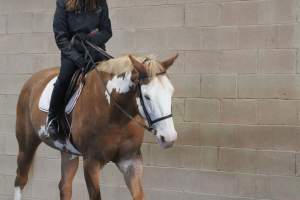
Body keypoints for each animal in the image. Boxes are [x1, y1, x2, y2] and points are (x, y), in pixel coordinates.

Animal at [13, 53, 178, 200]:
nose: (169, 138)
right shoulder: (91, 162)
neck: (114, 114)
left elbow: (139, 196)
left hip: (68, 152)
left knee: (64, 186)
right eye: (147, 96)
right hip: (27, 145)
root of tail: (32, 80)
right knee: (20, 180)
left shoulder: (131, 161)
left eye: (171, 92)